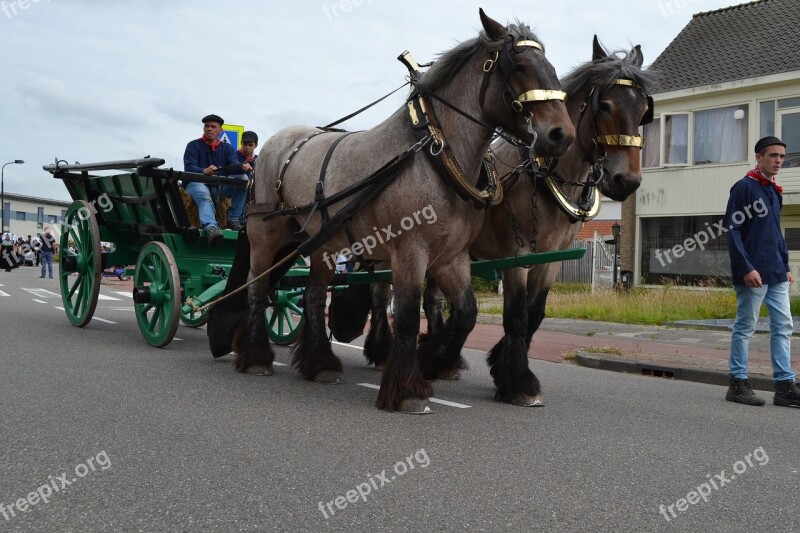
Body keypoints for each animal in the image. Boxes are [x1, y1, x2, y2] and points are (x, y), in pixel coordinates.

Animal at [225, 10, 576, 414]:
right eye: (518, 66)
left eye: (551, 67)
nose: (562, 135)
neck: (435, 155)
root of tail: (275, 144)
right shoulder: (410, 251)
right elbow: (407, 316)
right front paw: (409, 389)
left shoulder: (451, 256)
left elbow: (466, 313)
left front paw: (437, 361)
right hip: (266, 237)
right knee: (257, 287)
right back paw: (256, 358)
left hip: (322, 246)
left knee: (313, 296)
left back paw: (320, 364)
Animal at [358, 36, 656, 404]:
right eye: (606, 105)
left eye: (643, 112)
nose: (626, 181)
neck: (543, 176)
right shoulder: (518, 257)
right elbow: (516, 315)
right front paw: (516, 382)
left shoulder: (550, 260)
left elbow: (535, 315)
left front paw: (503, 367)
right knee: (379, 294)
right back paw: (384, 352)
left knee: (433, 301)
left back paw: (442, 357)